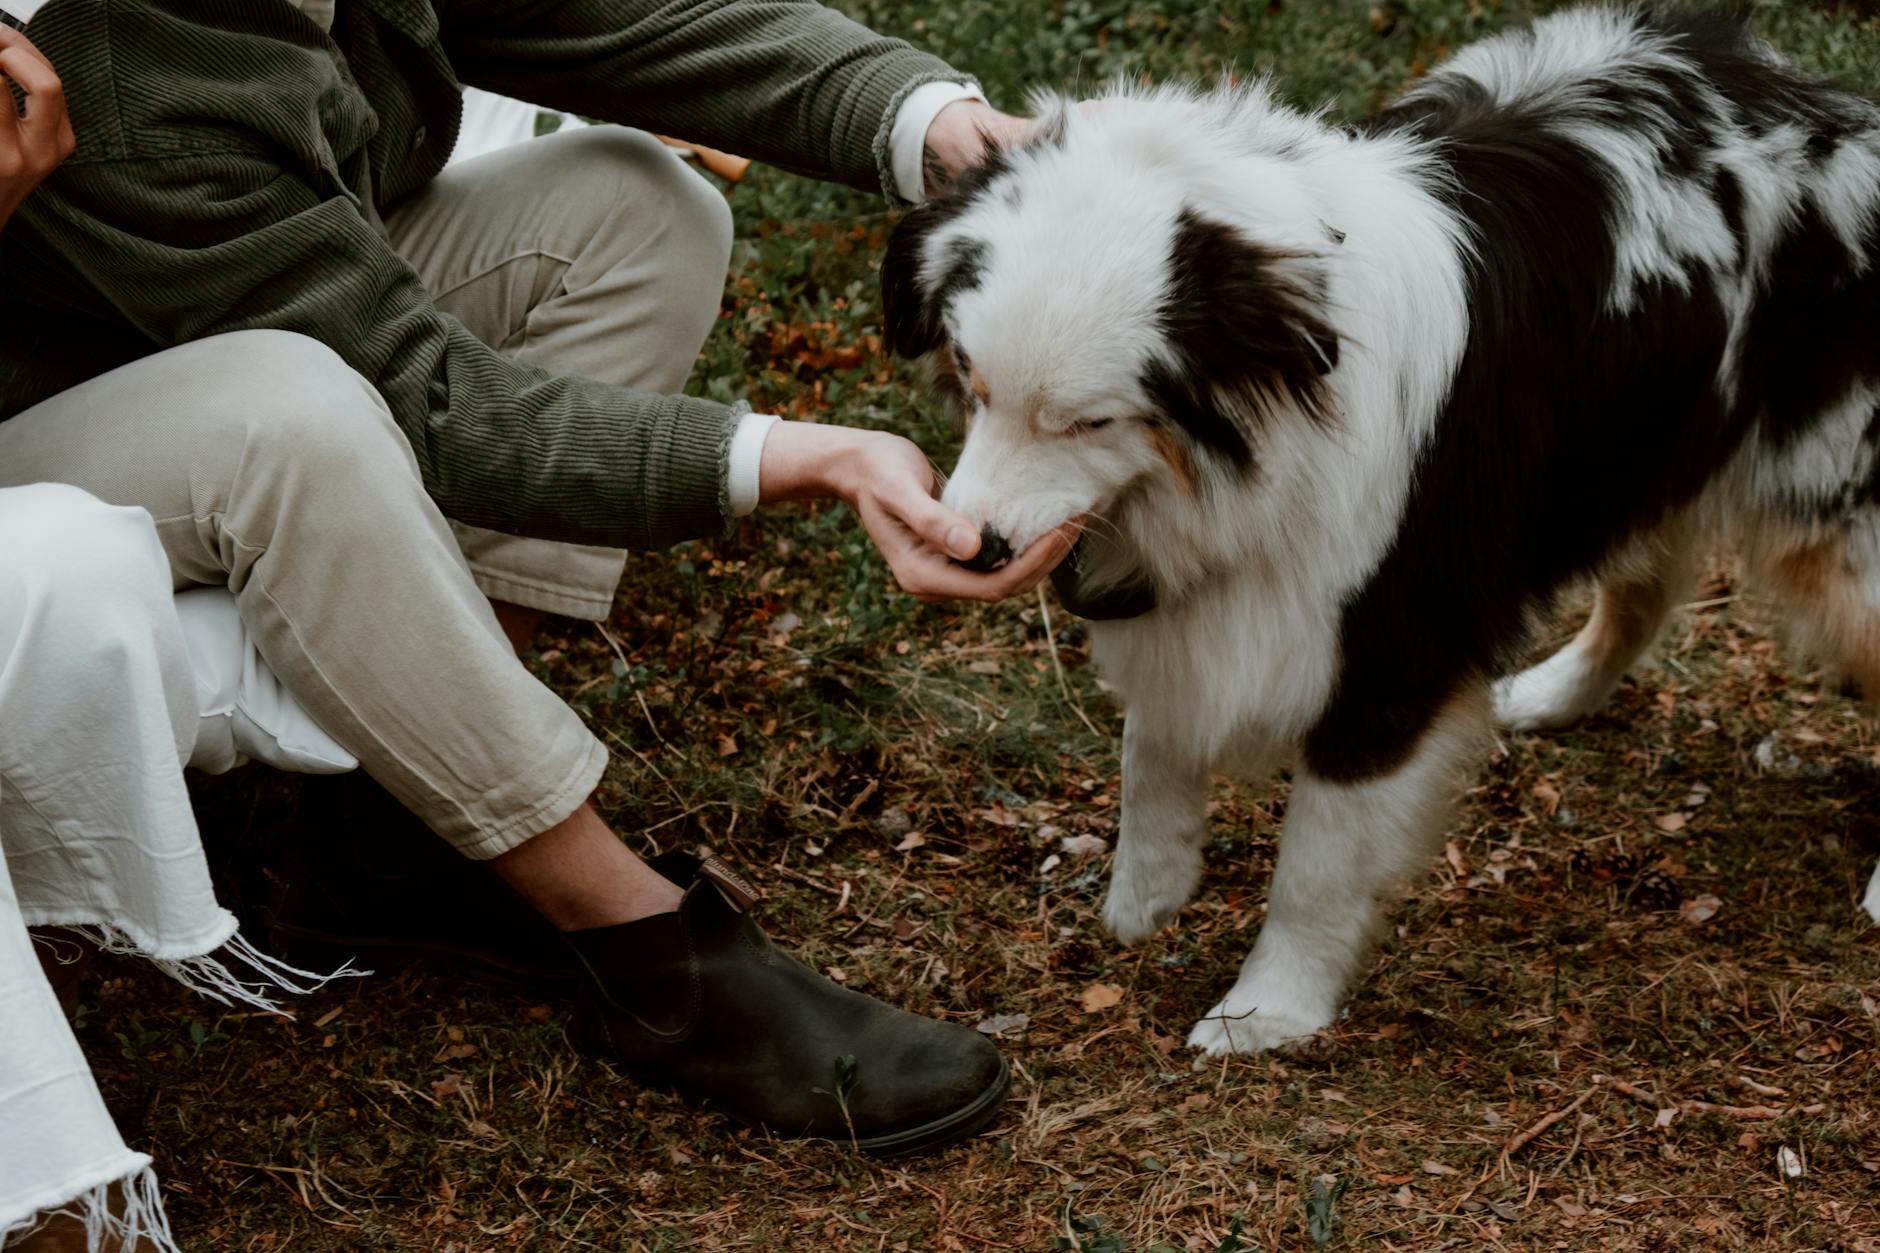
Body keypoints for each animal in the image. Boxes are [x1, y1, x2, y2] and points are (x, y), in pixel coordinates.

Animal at [887, 4, 1880, 1046]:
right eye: (971, 382)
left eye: (1090, 422)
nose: (976, 548)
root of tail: (1834, 104)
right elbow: (1152, 747)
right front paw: (1144, 897)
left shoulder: (1395, 637)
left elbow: (1317, 864)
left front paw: (1267, 1012)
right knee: (1642, 592)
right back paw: (1553, 693)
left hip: (1839, 522)